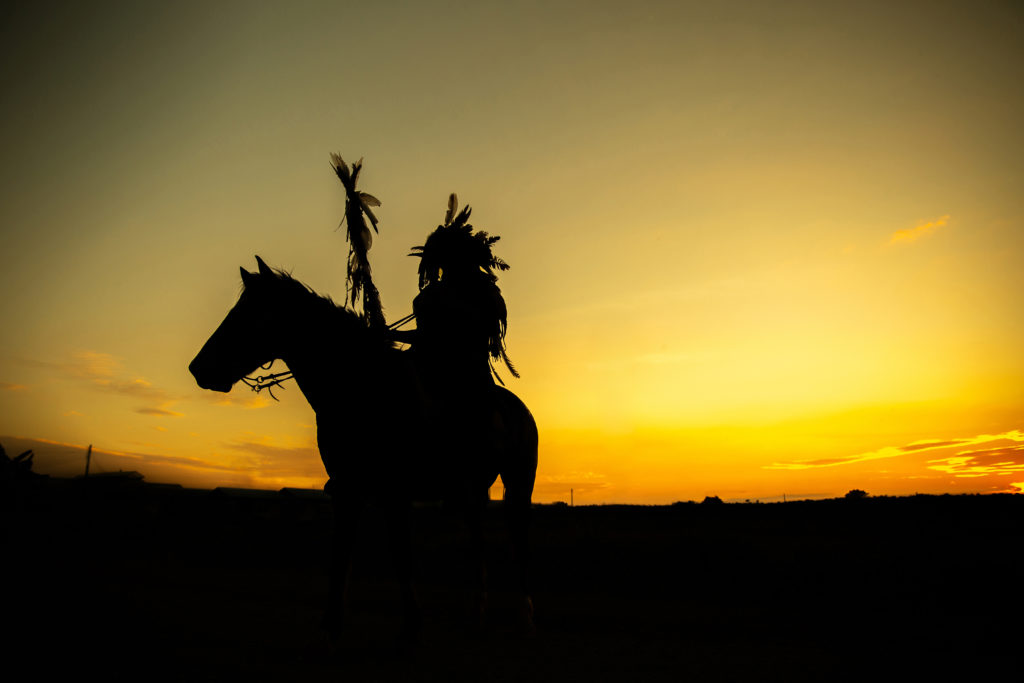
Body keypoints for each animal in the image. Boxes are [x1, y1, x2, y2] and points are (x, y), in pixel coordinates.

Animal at [189, 255, 540, 643]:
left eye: (245, 314)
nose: (198, 368)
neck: (362, 387)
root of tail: (520, 410)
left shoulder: (394, 491)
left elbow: (401, 556)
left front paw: (412, 625)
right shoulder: (348, 489)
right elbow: (340, 554)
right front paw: (331, 624)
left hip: (518, 484)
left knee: (519, 541)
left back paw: (525, 616)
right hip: (472, 489)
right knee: (478, 540)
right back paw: (477, 614)